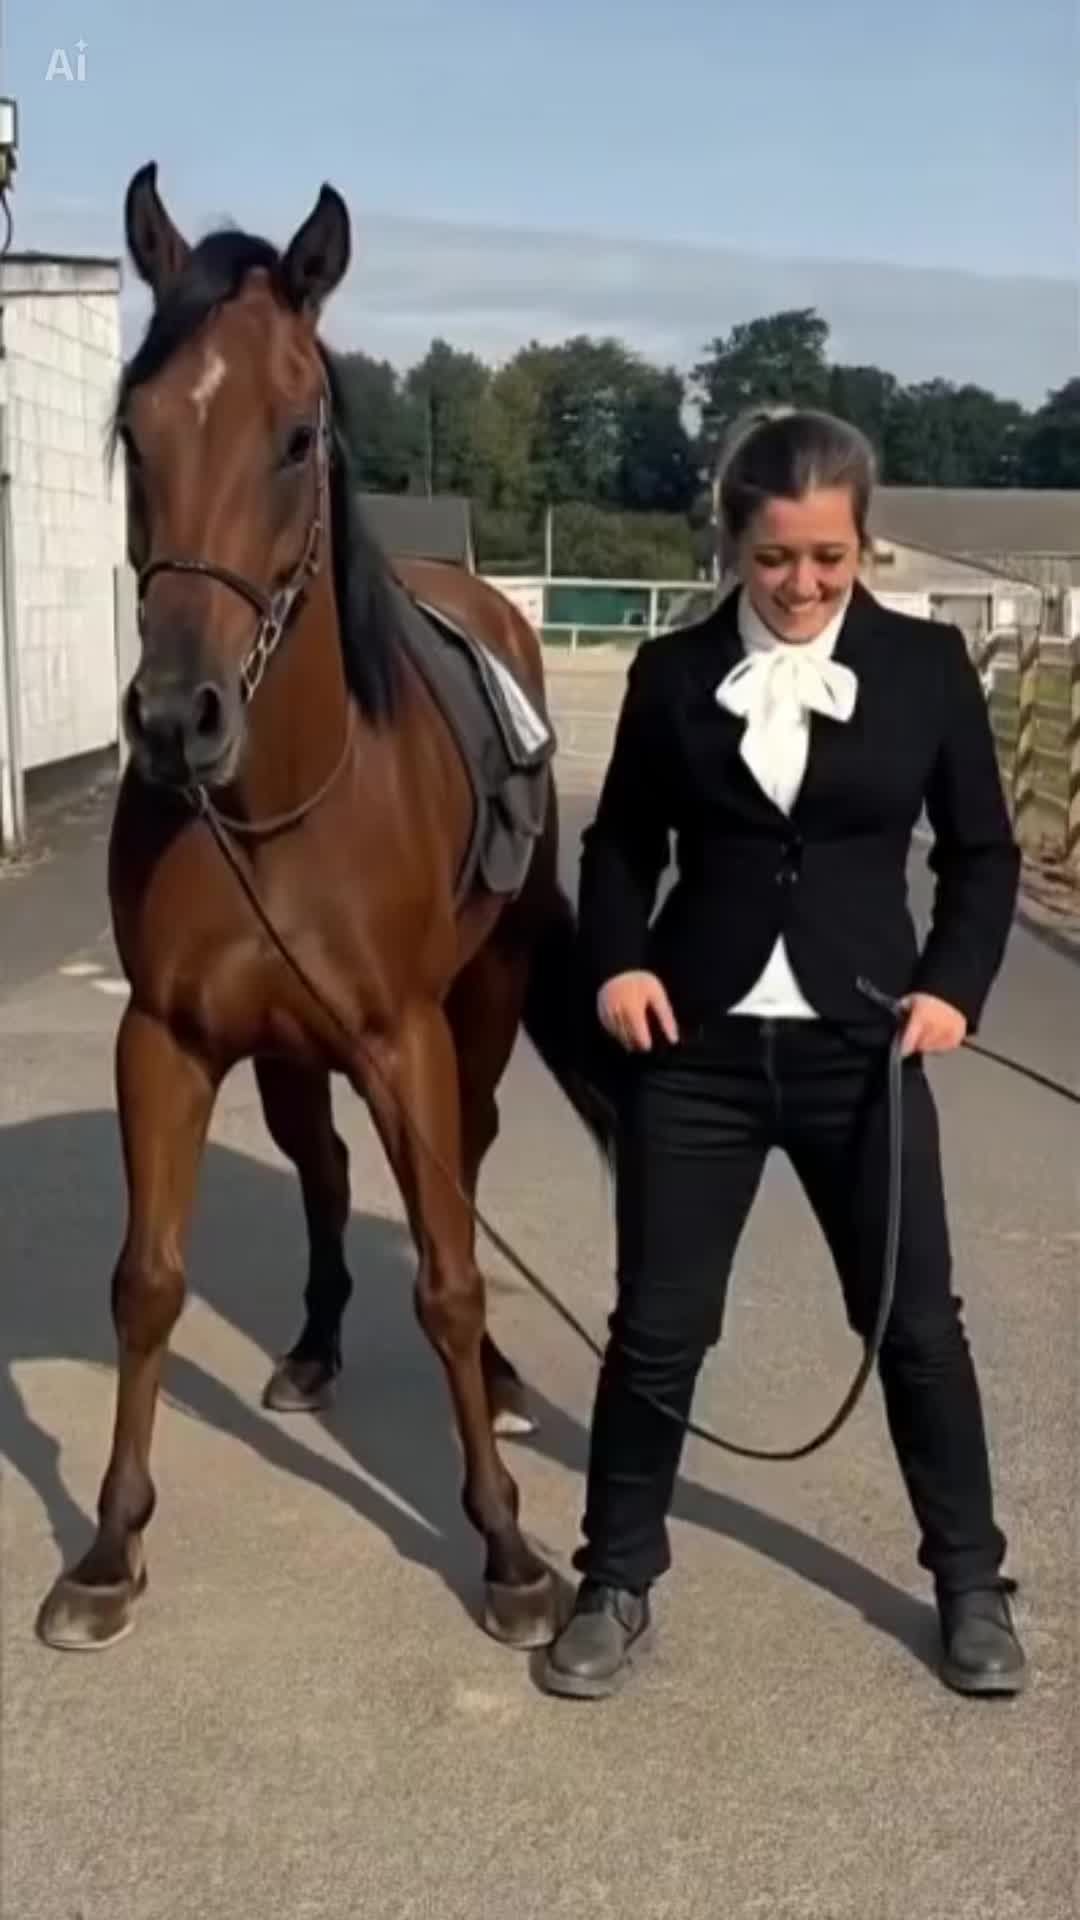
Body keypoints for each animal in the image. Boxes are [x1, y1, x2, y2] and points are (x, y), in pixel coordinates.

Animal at [35, 162, 612, 1655]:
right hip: (290, 1051)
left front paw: (510, 1549)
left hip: (478, 1011)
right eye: (136, 432)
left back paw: (504, 1377)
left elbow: (452, 1274)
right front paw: (109, 1547)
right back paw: (312, 1348)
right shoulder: (169, 1040)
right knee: (324, 1170)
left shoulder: (405, 1038)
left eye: (299, 436)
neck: (284, 797)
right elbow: (147, 1282)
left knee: (462, 1165)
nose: (175, 720)